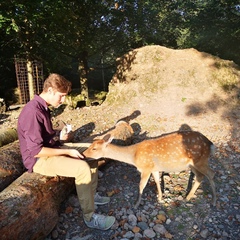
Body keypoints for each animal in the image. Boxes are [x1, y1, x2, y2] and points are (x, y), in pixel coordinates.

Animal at [83, 130, 217, 207]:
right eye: (90, 145)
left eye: (94, 148)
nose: (84, 154)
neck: (134, 156)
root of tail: (210, 144)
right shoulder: (154, 168)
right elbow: (157, 180)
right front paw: (160, 198)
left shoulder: (146, 168)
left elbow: (141, 186)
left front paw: (136, 204)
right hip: (192, 164)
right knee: (200, 176)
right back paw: (188, 197)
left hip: (200, 160)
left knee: (211, 173)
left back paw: (214, 200)